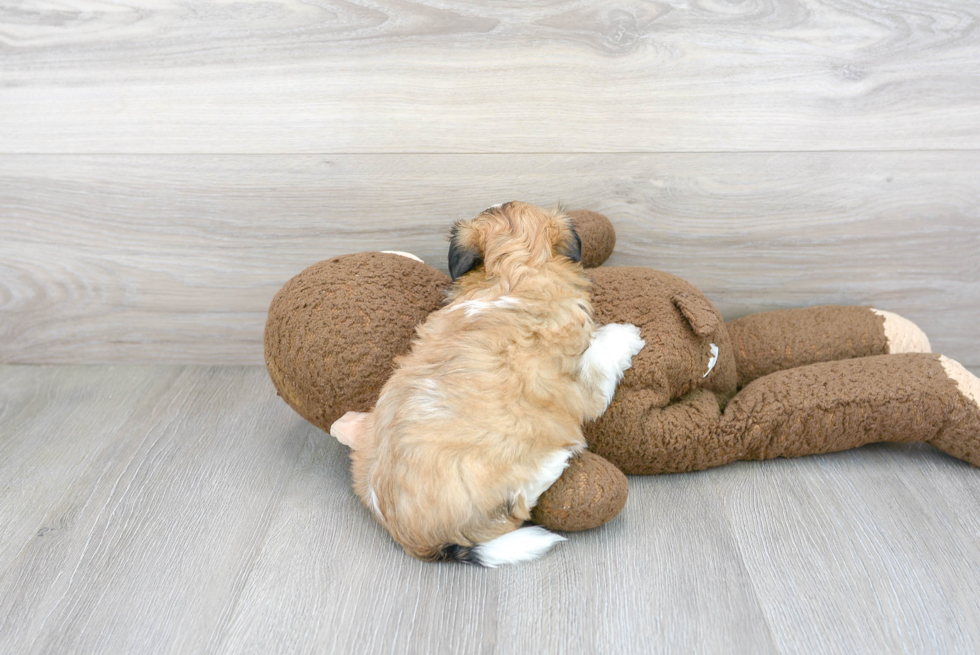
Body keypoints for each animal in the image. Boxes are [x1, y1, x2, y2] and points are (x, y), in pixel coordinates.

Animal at [334, 202, 648, 568]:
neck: (514, 273)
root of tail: (418, 541)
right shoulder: (581, 379)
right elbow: (602, 357)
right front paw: (626, 333)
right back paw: (557, 460)